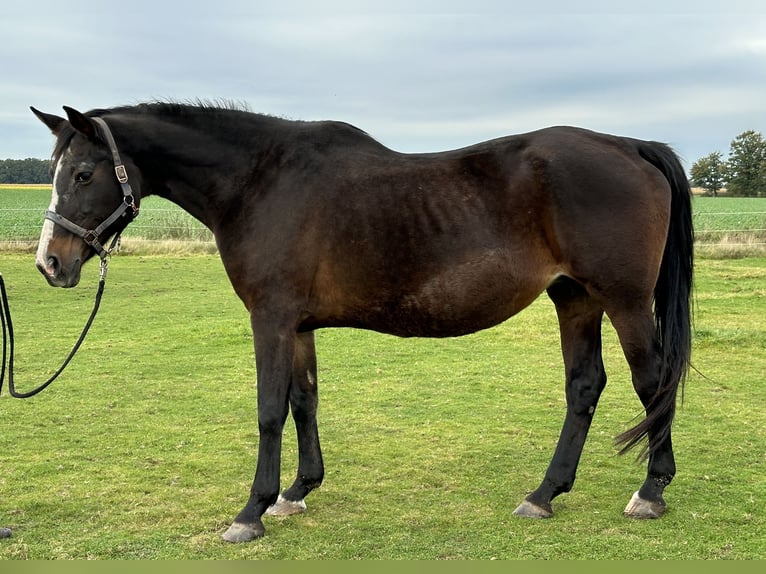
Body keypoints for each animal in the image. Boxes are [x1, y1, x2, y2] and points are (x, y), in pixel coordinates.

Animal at [30, 104, 696, 544]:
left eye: (84, 173)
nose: (50, 263)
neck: (260, 181)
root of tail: (630, 145)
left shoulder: (270, 319)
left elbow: (269, 409)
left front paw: (251, 512)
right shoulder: (297, 325)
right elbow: (303, 400)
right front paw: (296, 492)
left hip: (624, 301)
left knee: (652, 383)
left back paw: (651, 491)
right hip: (574, 298)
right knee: (584, 387)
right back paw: (543, 495)